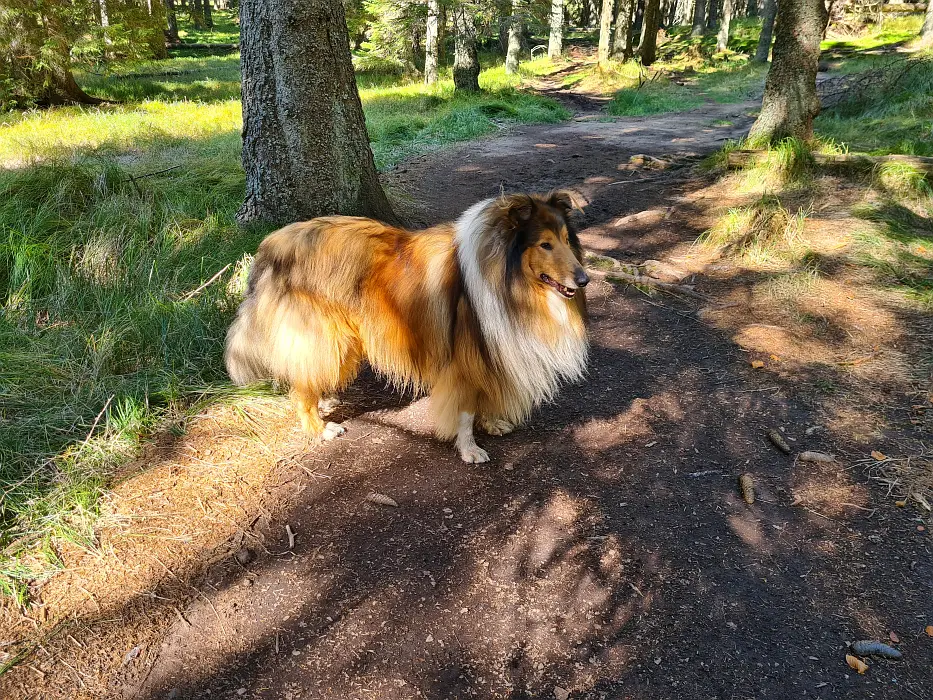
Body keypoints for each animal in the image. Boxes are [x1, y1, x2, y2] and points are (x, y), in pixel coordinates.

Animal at [225, 194, 588, 462]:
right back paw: (320, 428)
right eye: (544, 244)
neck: (504, 277)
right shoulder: (464, 359)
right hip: (326, 337)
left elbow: (484, 396)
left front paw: (492, 422)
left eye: (566, 240)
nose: (584, 279)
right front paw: (469, 449)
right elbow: (466, 409)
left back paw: (325, 400)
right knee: (300, 387)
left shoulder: (487, 353)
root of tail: (268, 247)